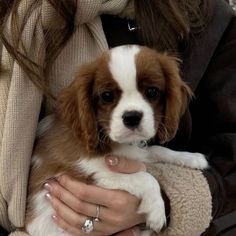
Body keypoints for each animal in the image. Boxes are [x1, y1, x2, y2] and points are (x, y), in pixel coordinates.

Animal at [24, 45, 207, 235]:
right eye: (107, 96)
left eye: (152, 92)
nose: (132, 117)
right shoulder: (85, 174)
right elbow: (145, 177)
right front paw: (157, 212)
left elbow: (156, 150)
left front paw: (191, 158)